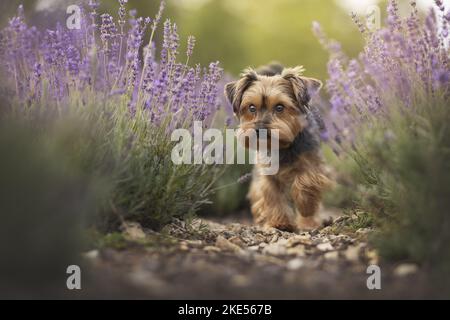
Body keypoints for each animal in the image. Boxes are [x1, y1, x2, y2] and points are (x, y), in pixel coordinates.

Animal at [225, 63, 330, 232]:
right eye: (251, 108)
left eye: (280, 107)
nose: (260, 129)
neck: (282, 146)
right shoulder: (267, 175)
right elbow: (272, 195)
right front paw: (279, 222)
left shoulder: (313, 162)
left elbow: (306, 182)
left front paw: (305, 206)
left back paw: (309, 222)